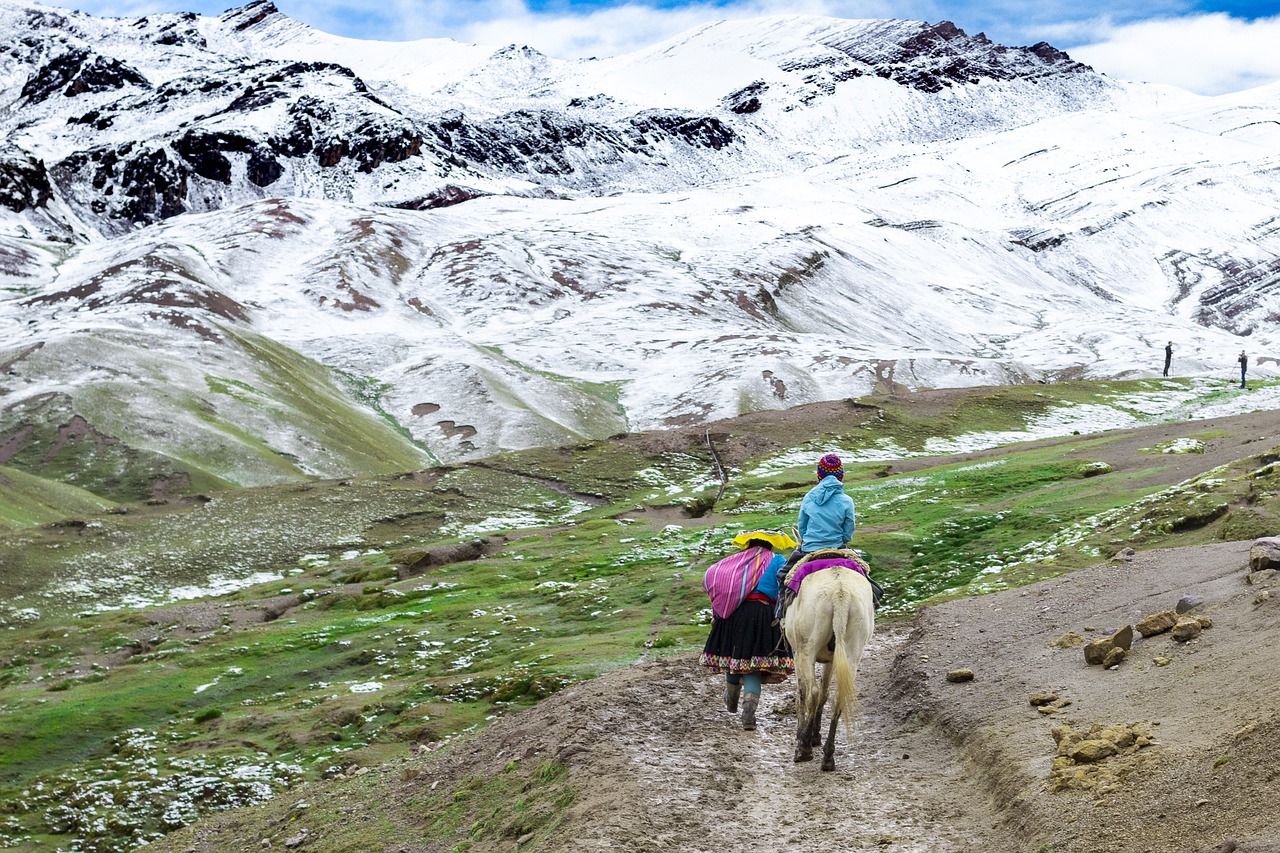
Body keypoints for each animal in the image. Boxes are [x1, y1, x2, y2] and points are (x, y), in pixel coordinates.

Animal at [778, 558, 880, 768]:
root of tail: (840, 594)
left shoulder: (799, 655)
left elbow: (802, 694)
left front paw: (805, 736)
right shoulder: (832, 660)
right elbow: (825, 693)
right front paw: (816, 735)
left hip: (807, 651)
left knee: (812, 693)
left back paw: (804, 748)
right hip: (851, 652)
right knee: (838, 697)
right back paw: (828, 755)